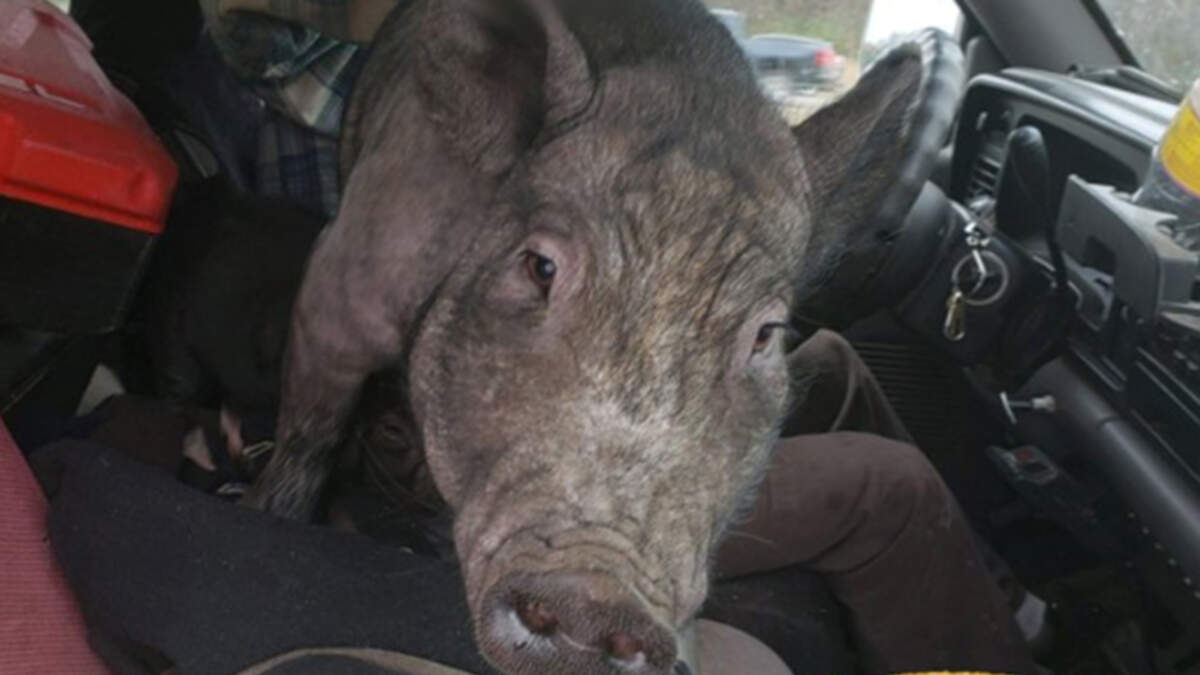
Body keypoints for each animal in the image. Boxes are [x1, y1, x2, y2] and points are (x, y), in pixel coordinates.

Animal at [244, 0, 955, 673]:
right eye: (540, 266)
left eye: (765, 335)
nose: (595, 597)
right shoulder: (342, 284)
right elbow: (306, 441)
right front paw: (269, 511)